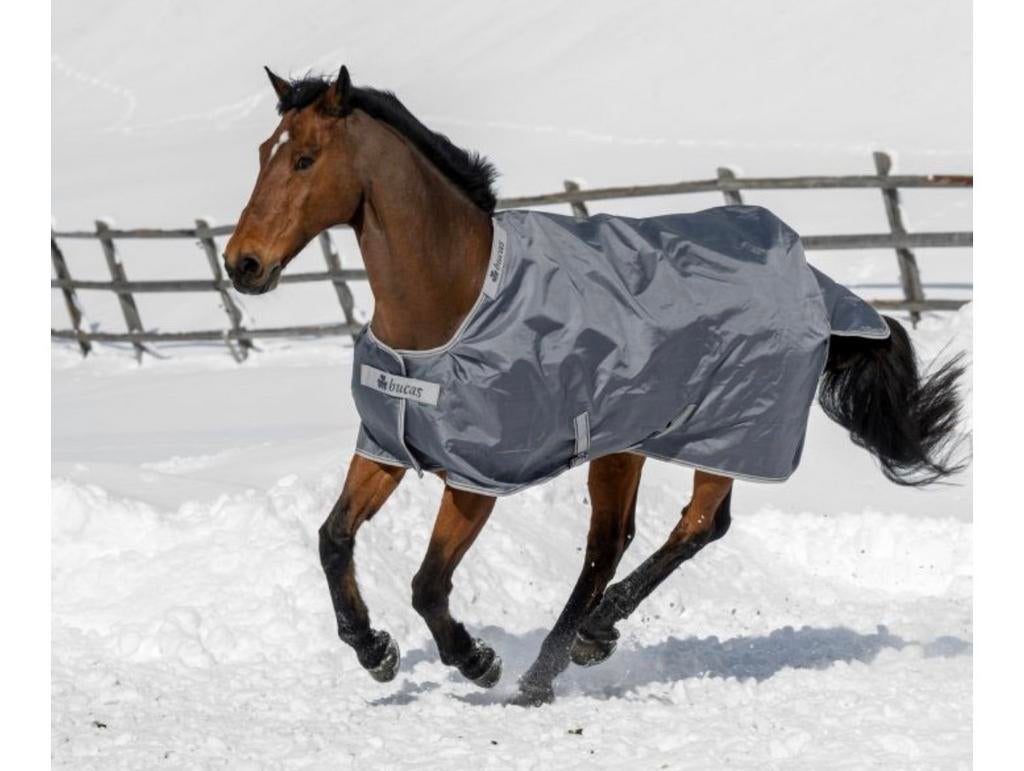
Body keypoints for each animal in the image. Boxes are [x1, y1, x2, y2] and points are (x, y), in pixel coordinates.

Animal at [224, 66, 965, 707]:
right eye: (263, 152)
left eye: (305, 158)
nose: (242, 264)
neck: (452, 304)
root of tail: (817, 280)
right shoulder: (388, 446)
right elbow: (333, 538)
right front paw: (373, 649)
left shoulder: (476, 476)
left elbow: (429, 584)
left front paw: (477, 659)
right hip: (626, 442)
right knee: (616, 542)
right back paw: (562, 656)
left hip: (722, 435)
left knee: (694, 525)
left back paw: (574, 646)